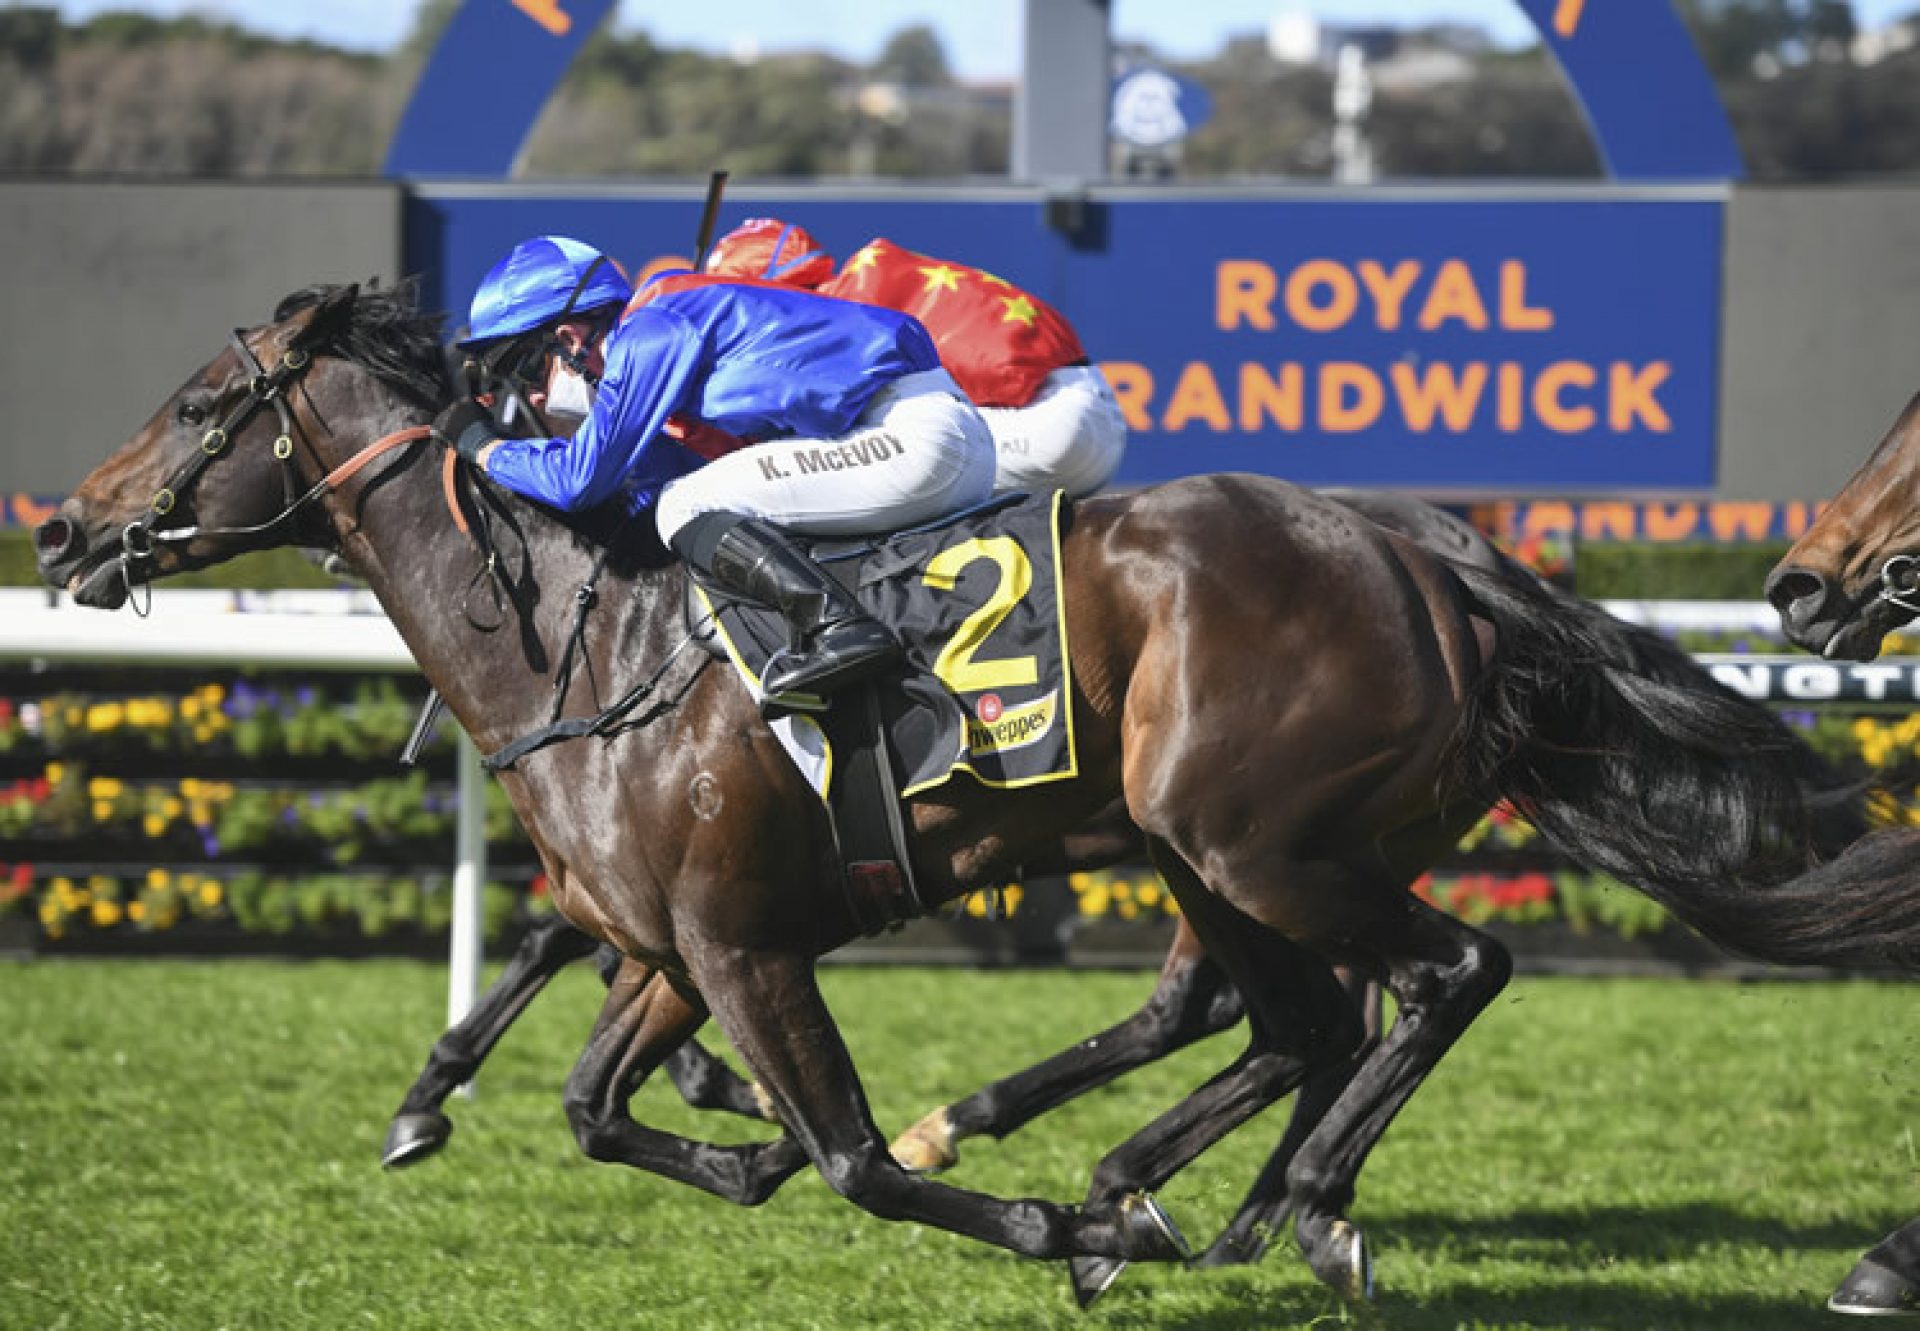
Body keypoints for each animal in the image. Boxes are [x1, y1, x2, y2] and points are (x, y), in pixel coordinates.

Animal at [41, 282, 1920, 1298]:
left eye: (203, 405)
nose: (60, 528)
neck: (587, 640)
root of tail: (1425, 551)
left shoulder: (744, 944)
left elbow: (856, 1155)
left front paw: (1023, 1215)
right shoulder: (668, 945)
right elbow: (589, 1100)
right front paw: (705, 1139)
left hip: (1260, 842)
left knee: (1441, 971)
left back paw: (1278, 1208)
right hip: (1212, 848)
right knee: (1302, 1016)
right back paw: (1197, 1193)